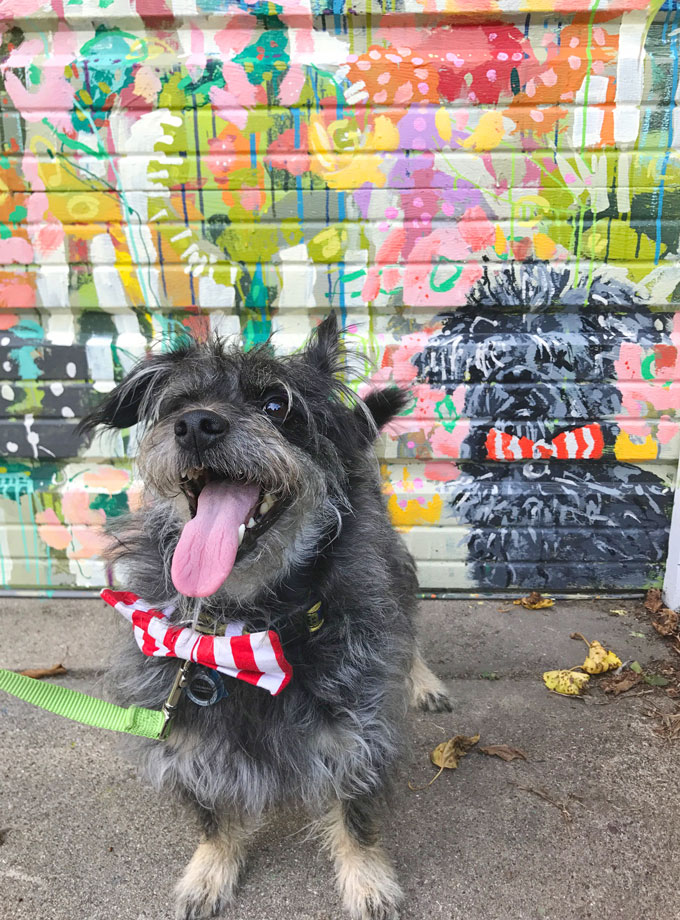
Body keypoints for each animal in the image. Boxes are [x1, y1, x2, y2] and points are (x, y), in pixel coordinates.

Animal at [81, 314, 452, 920]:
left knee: (409, 626)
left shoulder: (359, 730)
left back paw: (423, 681)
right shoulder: (185, 733)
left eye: (277, 404)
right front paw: (210, 870)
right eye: (179, 403)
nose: (196, 425)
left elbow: (355, 812)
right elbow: (213, 814)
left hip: (395, 569)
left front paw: (368, 881)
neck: (246, 626)